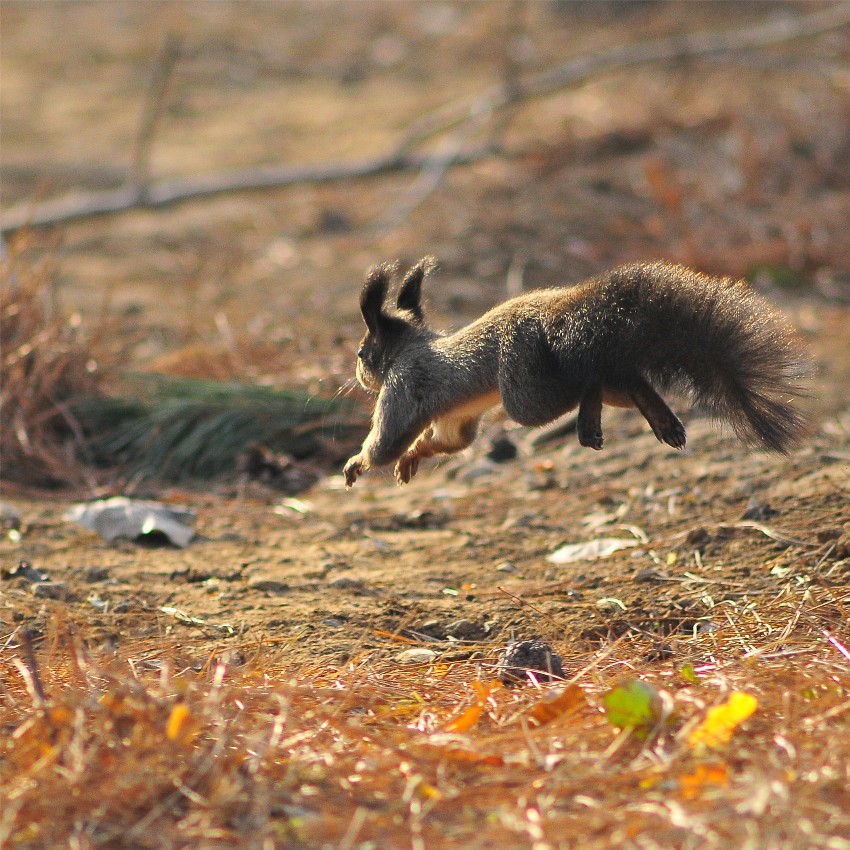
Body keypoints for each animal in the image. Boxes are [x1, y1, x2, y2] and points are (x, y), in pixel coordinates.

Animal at [342, 255, 804, 486]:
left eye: (364, 352)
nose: (359, 375)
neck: (412, 346)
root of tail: (559, 319)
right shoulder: (454, 418)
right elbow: (449, 442)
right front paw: (414, 457)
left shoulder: (403, 386)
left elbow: (387, 441)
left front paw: (359, 462)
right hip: (592, 374)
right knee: (624, 376)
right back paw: (662, 422)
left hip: (525, 391)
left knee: (585, 383)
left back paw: (588, 421)